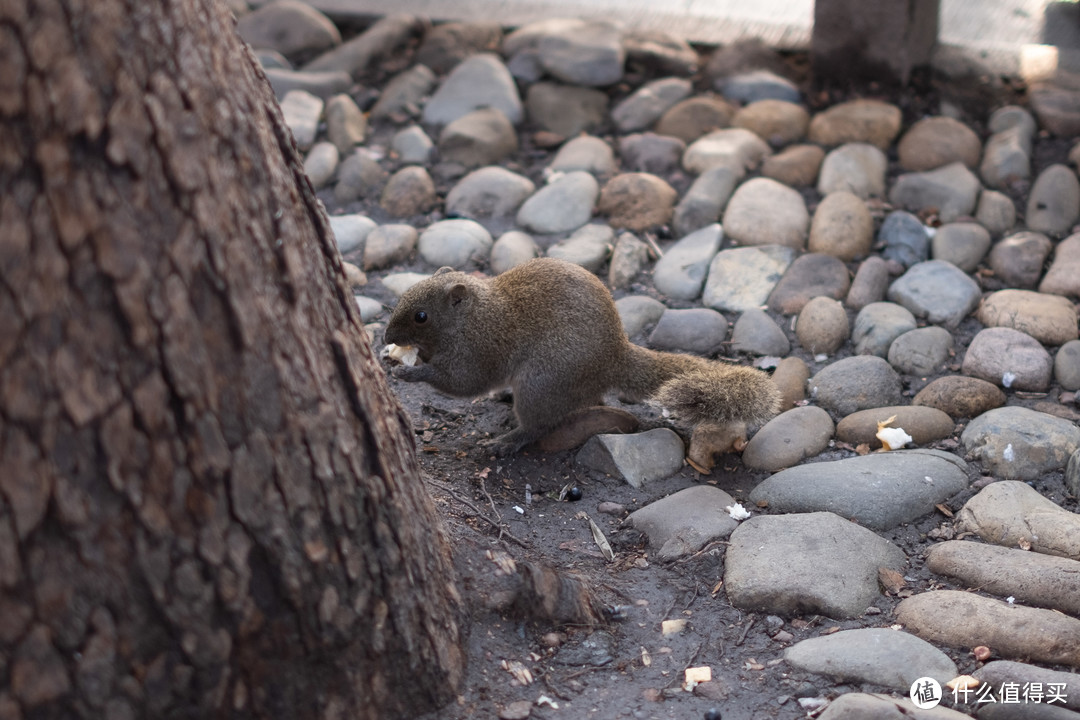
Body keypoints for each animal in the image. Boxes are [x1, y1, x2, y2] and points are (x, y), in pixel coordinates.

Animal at [384, 259, 781, 459]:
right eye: (404, 295)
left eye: (421, 316)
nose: (387, 337)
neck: (475, 315)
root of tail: (614, 357)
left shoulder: (481, 349)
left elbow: (463, 383)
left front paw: (411, 373)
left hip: (541, 383)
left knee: (539, 426)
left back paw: (506, 441)